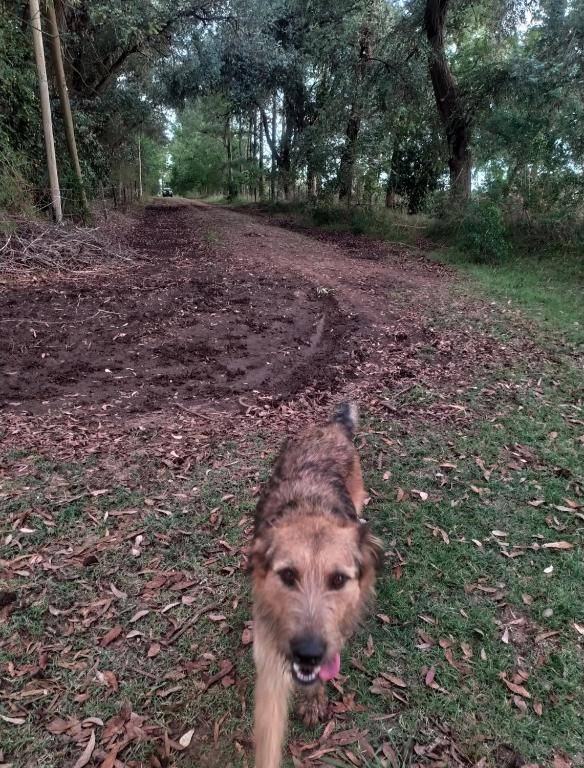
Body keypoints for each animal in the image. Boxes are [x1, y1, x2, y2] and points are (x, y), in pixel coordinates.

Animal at [251, 404, 384, 764]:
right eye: (287, 575)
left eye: (338, 579)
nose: (309, 654)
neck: (310, 511)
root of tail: (331, 428)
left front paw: (313, 699)